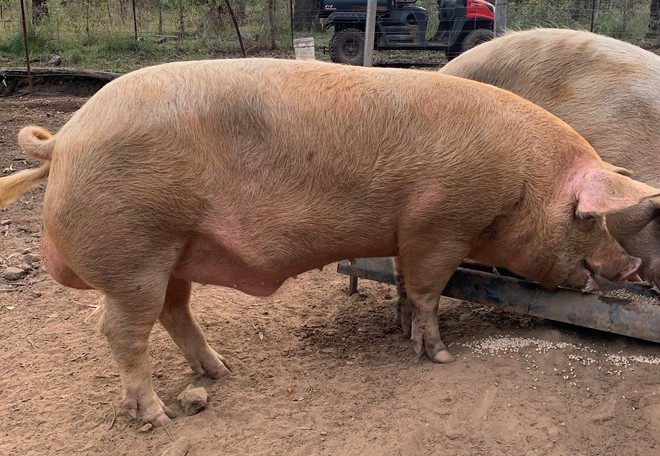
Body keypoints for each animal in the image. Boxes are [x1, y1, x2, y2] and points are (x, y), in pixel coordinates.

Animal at [0, 58, 657, 426]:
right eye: (589, 218)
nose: (629, 267)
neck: (519, 183)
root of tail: (63, 138)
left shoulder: (409, 232)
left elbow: (406, 284)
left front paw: (401, 331)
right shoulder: (441, 222)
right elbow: (429, 290)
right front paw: (440, 356)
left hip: (178, 250)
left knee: (174, 311)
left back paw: (221, 371)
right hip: (136, 250)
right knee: (120, 330)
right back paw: (157, 417)